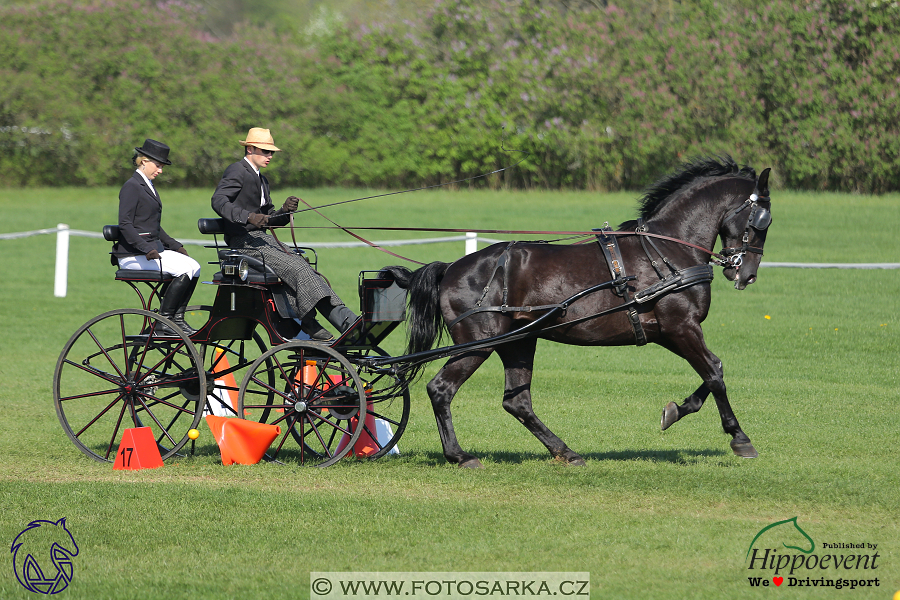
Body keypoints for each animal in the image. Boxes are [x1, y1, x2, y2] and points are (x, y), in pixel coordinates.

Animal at [384, 157, 768, 466]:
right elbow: (714, 373)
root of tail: (451, 268)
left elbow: (713, 370)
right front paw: (740, 438)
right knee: (441, 389)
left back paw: (565, 452)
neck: (665, 252)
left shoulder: (669, 332)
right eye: (763, 218)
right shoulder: (681, 326)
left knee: (517, 401)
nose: (746, 274)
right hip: (480, 343)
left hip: (518, 341)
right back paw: (459, 456)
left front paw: (674, 412)